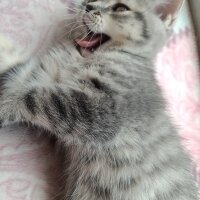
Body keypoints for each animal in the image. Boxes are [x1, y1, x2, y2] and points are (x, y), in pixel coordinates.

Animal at [0, 0, 198, 200]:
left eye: (121, 8)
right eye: (91, 0)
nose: (88, 6)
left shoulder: (103, 110)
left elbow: (35, 97)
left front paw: (5, 106)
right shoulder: (39, 74)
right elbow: (14, 69)